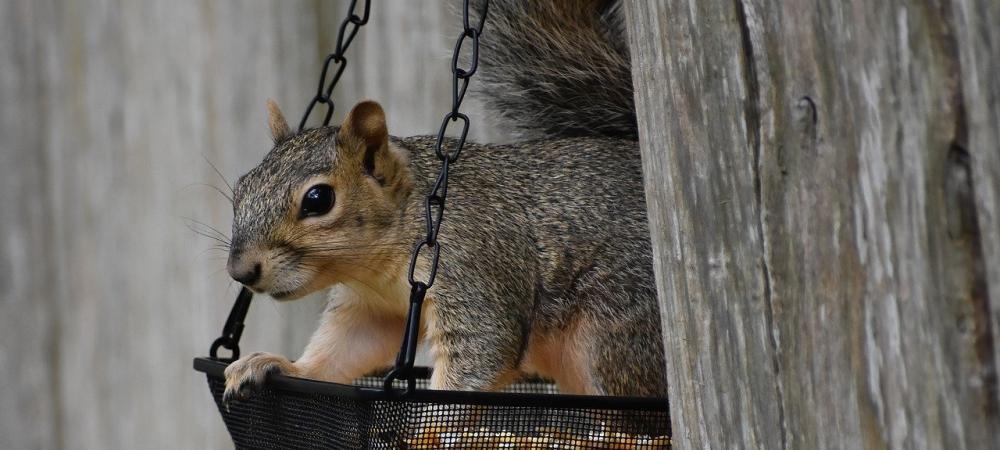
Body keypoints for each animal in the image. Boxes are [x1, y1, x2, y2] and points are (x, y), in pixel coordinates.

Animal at [222, 0, 667, 403]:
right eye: (242, 187)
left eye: (318, 199)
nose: (240, 271)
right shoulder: (371, 309)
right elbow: (343, 350)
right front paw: (279, 365)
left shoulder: (471, 265)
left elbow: (481, 350)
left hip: (616, 330)